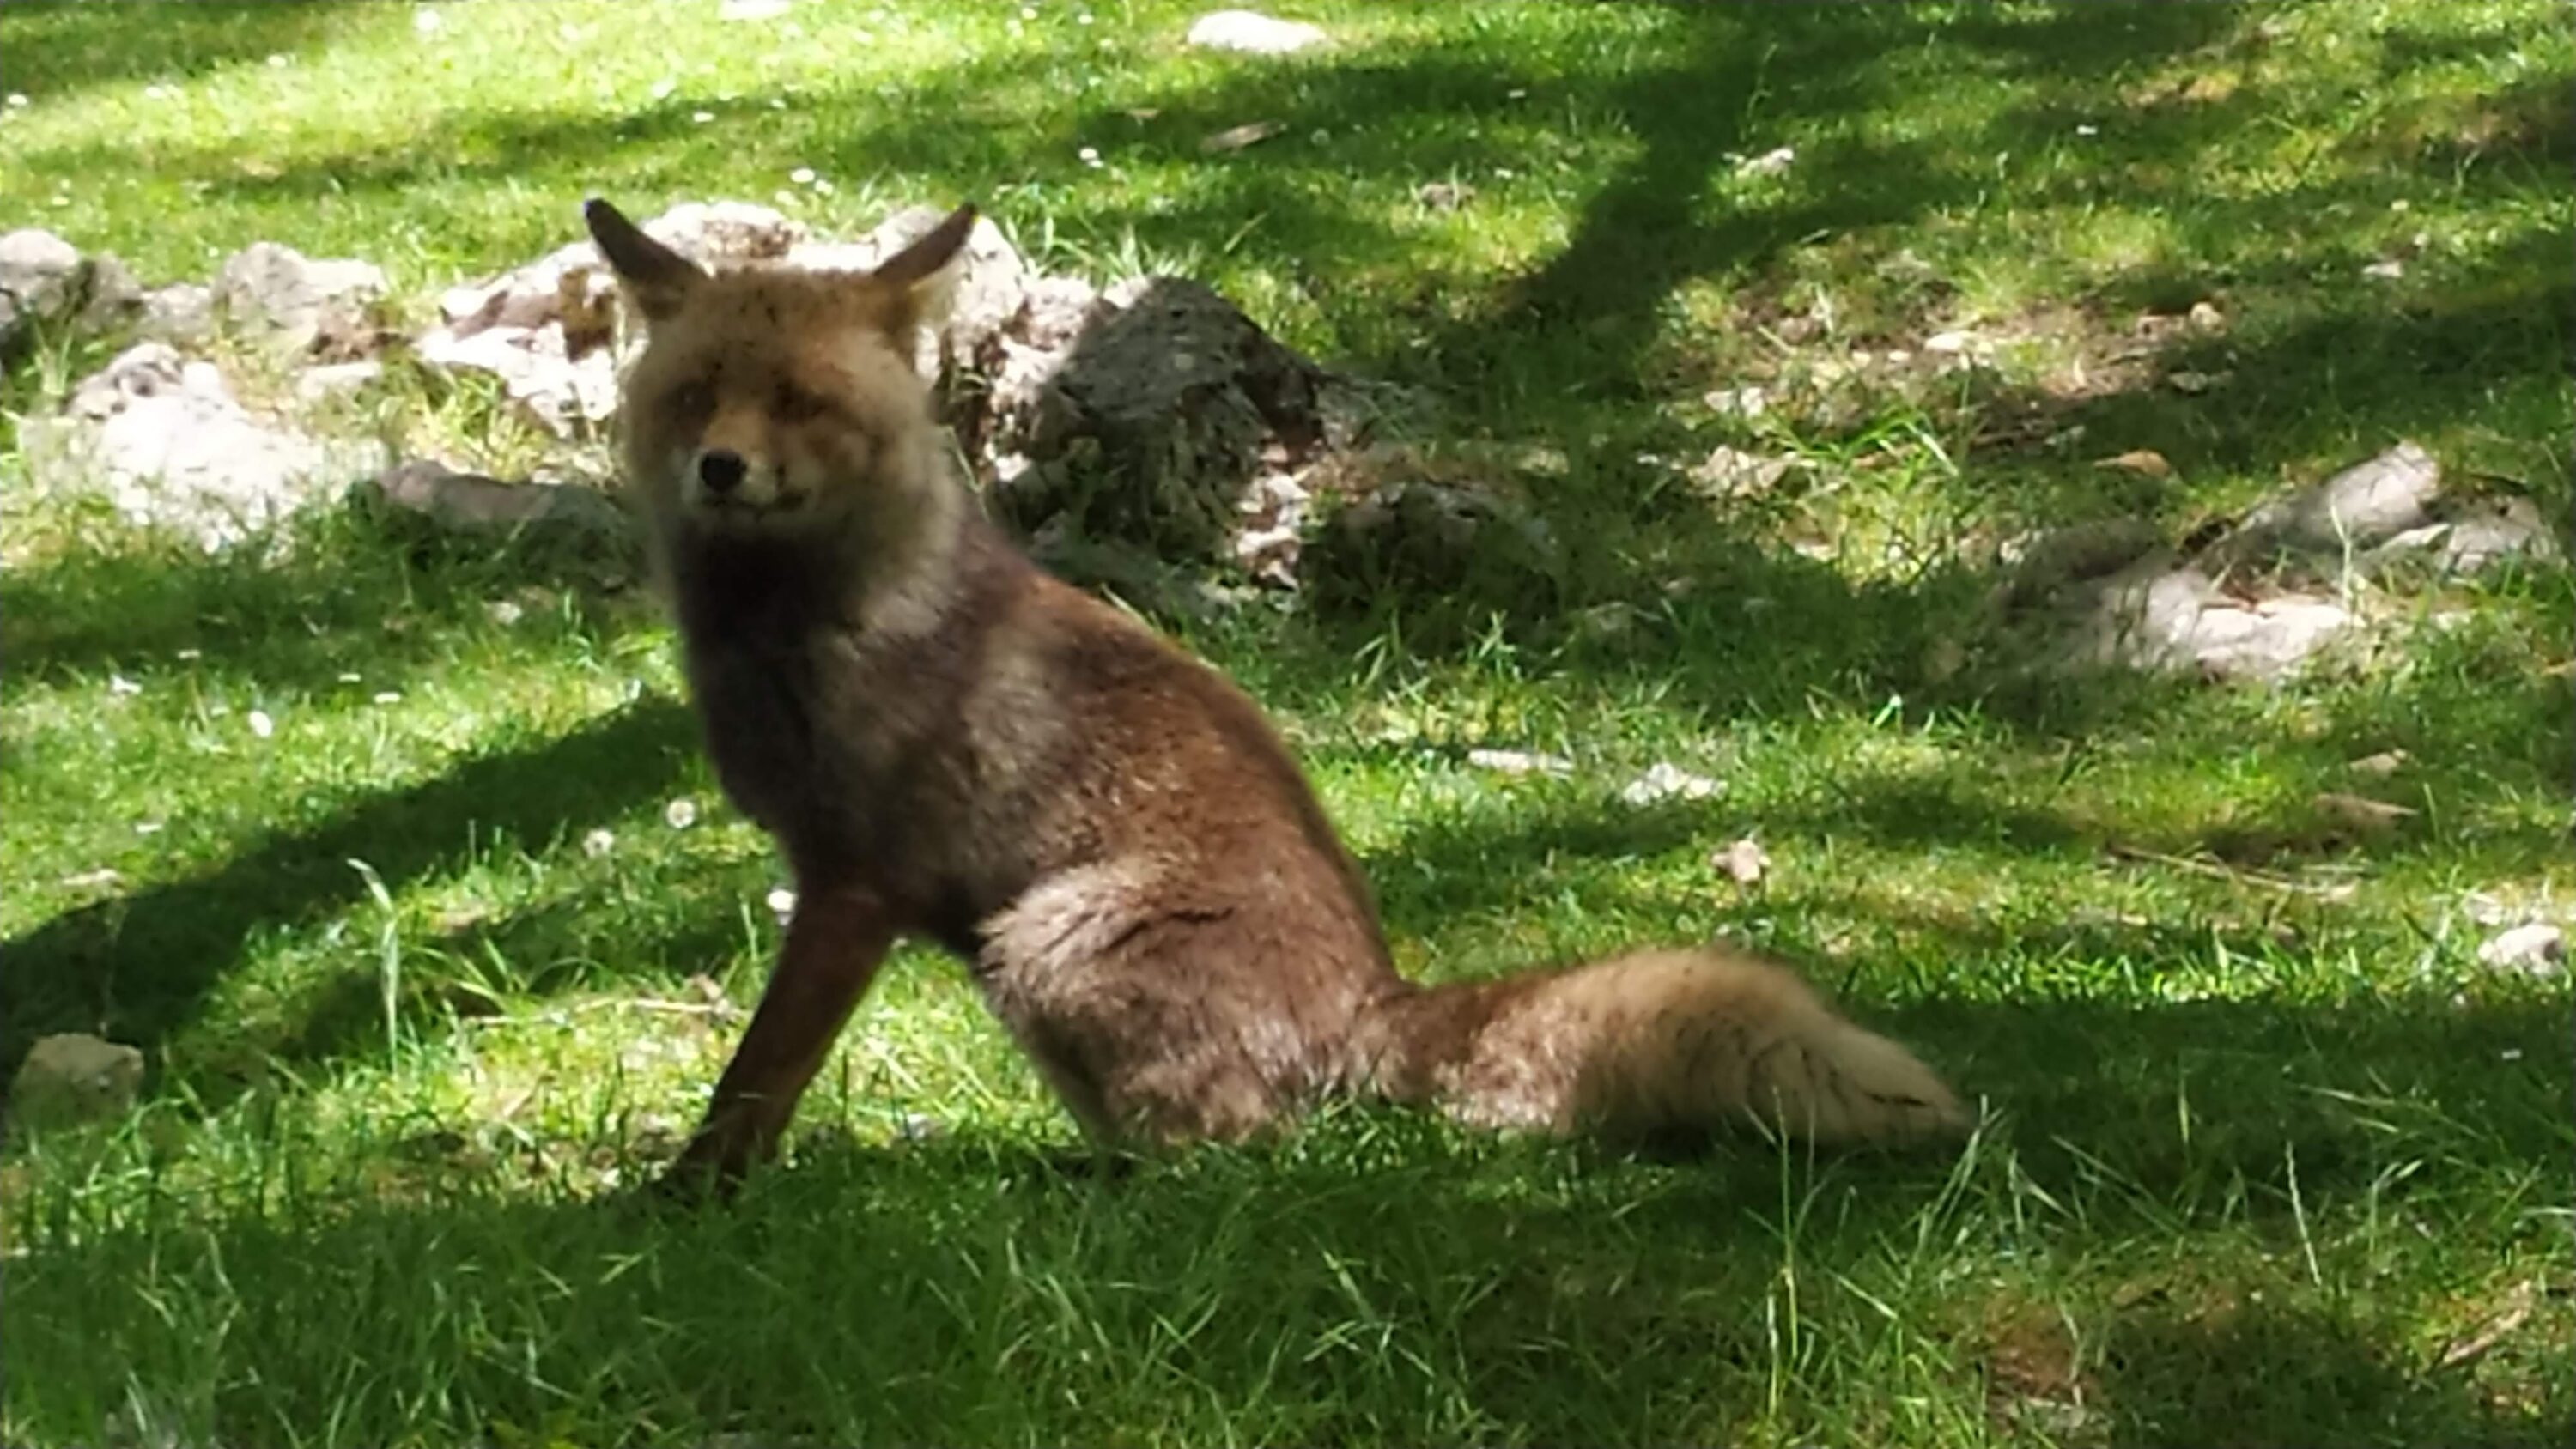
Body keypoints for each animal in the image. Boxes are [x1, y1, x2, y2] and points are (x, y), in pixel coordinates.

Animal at [580, 195, 1972, 1197]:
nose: (721, 468)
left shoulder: (856, 879)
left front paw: (687, 1204)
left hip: (1041, 949)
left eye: (801, 402)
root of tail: (1376, 998)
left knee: (1246, 1153)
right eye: (697, 395)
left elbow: (754, 1082)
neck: (804, 626)